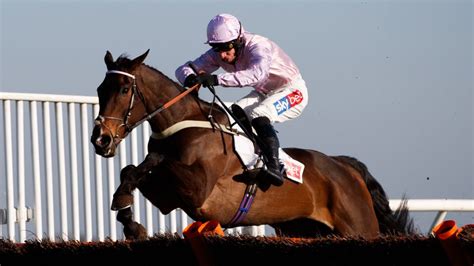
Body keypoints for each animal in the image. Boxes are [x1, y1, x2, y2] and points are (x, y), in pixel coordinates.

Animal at [90, 49, 412, 239]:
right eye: (100, 88)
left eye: (124, 89)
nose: (100, 139)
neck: (184, 125)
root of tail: (346, 167)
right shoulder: (170, 197)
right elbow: (132, 171)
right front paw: (128, 216)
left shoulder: (196, 191)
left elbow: (150, 165)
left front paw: (129, 215)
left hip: (359, 228)